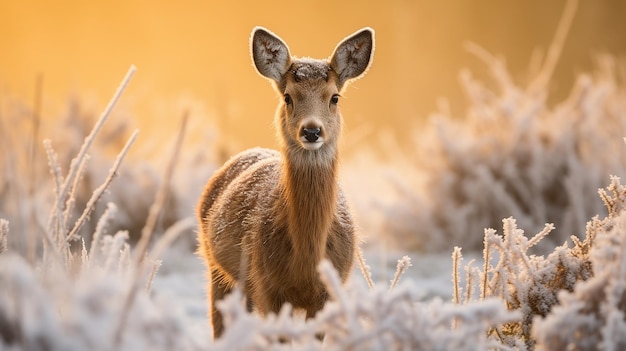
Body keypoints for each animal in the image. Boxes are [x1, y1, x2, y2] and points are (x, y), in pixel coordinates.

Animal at [196, 26, 370, 340]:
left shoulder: (329, 290)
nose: (311, 131)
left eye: (335, 97)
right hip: (216, 267)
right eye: (288, 97)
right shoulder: (267, 285)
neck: (305, 263)